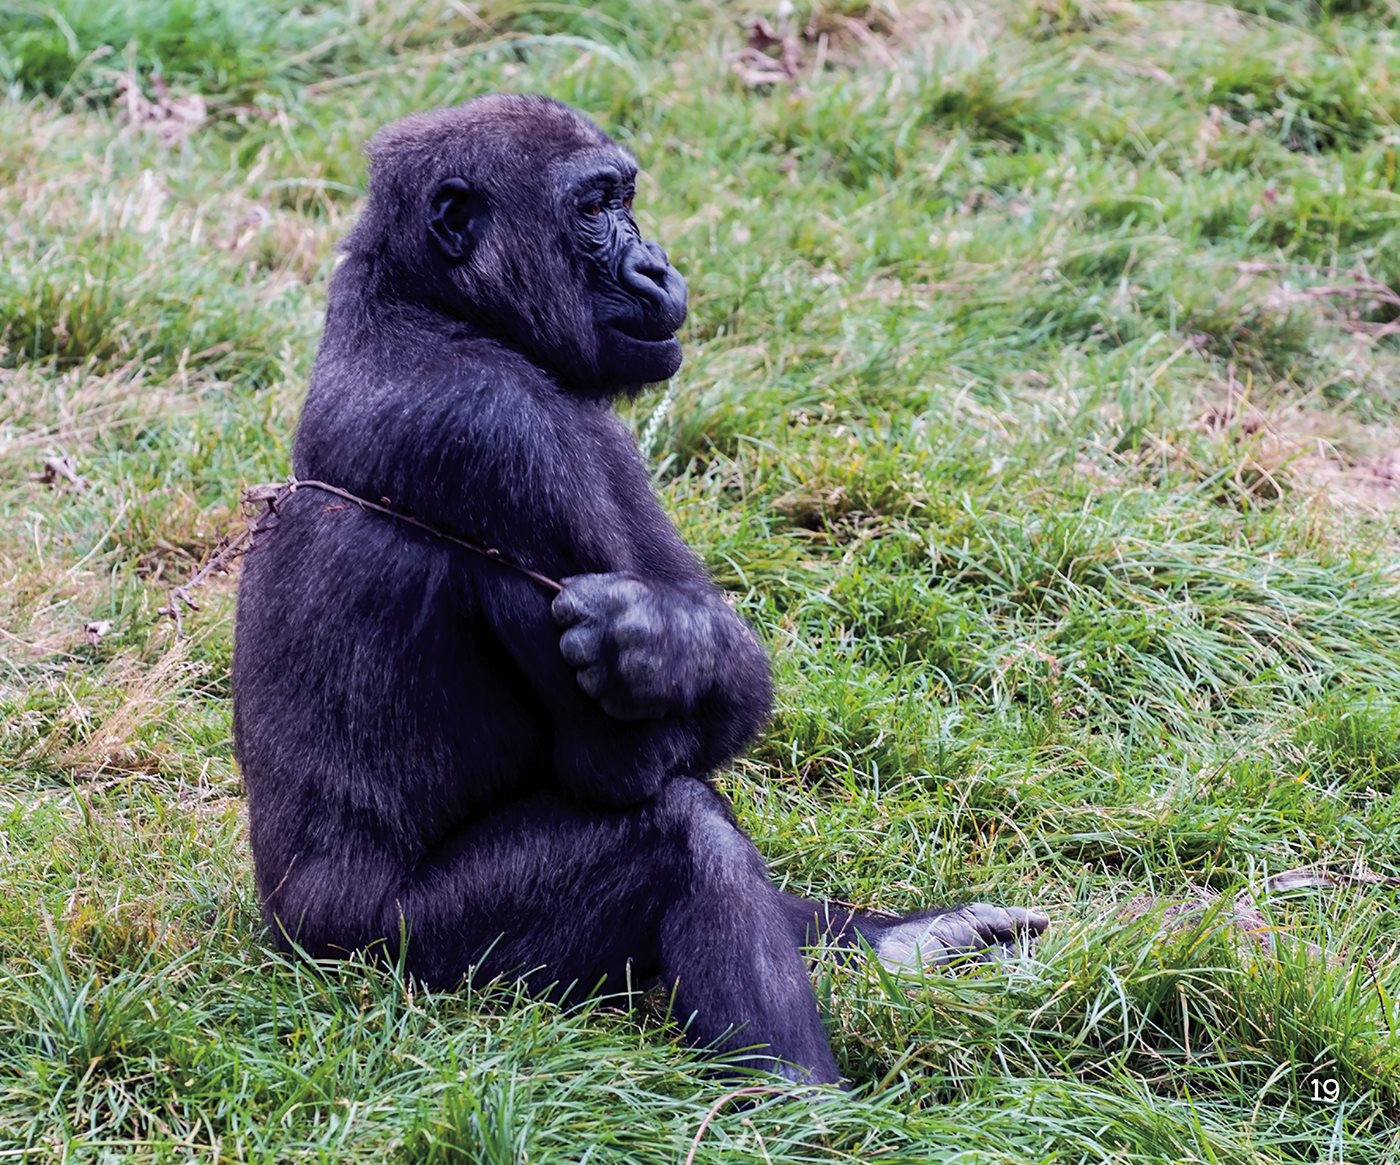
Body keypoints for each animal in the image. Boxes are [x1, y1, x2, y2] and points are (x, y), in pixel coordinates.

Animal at [232, 95, 1041, 1086]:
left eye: (626, 199)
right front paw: (651, 651)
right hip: (404, 963)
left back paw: (901, 941)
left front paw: (660, 638)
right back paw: (795, 1098)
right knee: (680, 828)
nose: (654, 263)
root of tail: (284, 940)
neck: (426, 298)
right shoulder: (503, 436)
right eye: (593, 208)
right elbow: (628, 761)